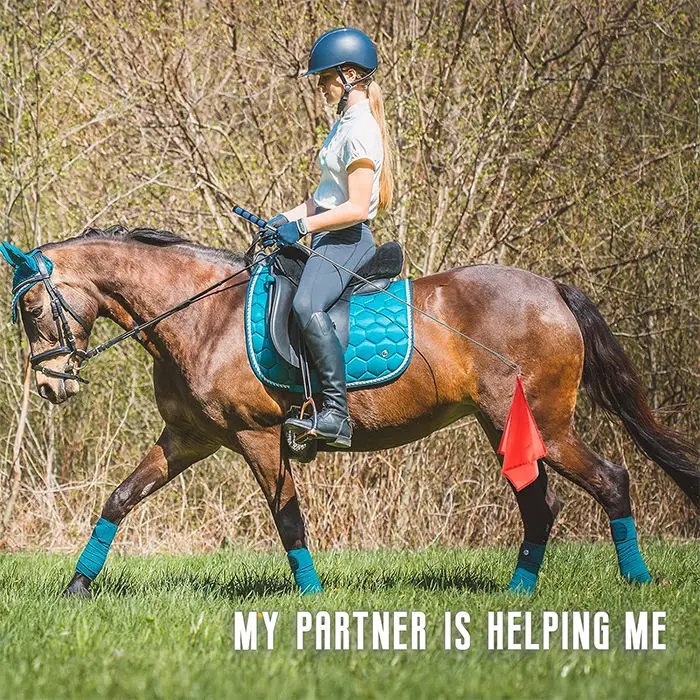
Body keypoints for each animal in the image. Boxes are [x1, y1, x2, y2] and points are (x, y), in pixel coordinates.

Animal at [2, 226, 697, 598]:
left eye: (31, 309)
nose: (52, 387)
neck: (201, 316)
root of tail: (551, 289)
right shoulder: (188, 438)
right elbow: (120, 498)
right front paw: (76, 588)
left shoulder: (257, 436)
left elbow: (287, 518)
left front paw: (311, 598)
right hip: (509, 427)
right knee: (544, 503)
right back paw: (520, 592)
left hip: (539, 424)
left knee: (609, 480)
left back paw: (632, 582)